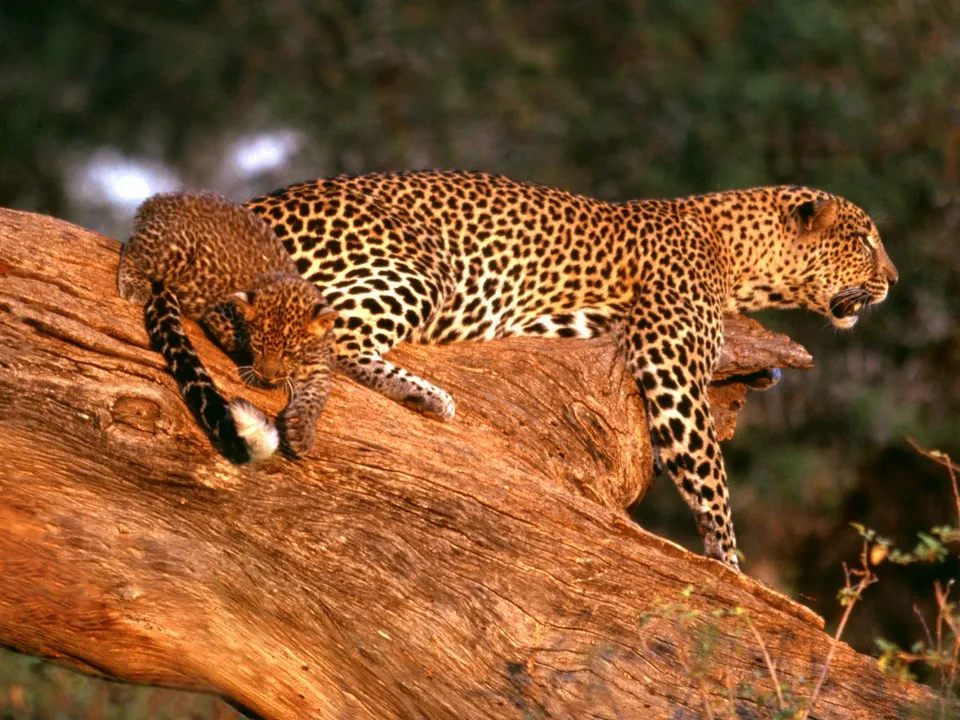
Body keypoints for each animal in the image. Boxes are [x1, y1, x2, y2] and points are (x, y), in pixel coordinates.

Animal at [117, 191, 338, 462]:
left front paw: (301, 430)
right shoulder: (216, 315)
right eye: (259, 346)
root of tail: (159, 199)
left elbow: (317, 393)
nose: (268, 376)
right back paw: (134, 283)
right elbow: (238, 343)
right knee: (132, 248)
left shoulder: (319, 364)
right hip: (174, 251)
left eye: (290, 352)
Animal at [244, 170, 898, 569]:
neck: (740, 254)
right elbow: (708, 470)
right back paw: (423, 395)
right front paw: (733, 567)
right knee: (332, 339)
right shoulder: (669, 357)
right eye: (866, 240)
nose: (894, 281)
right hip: (420, 262)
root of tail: (253, 205)